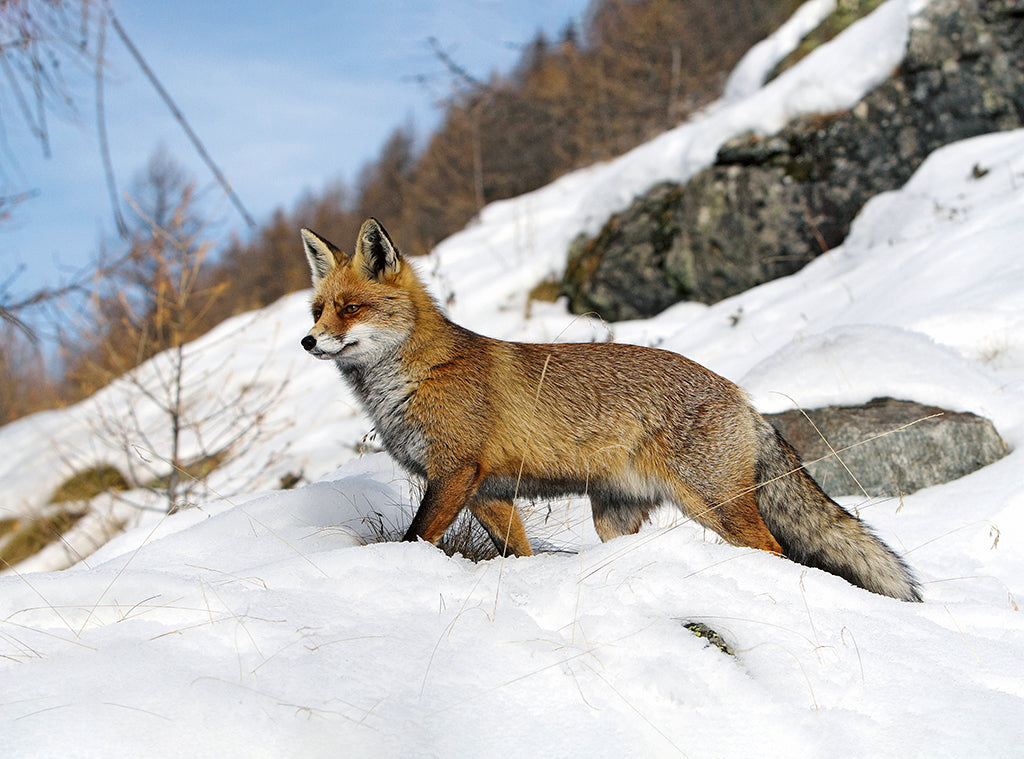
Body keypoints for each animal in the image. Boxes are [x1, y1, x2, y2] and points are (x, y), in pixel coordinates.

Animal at [299, 216, 921, 602]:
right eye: (316, 310)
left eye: (350, 309)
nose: (307, 342)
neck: (414, 377)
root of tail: (741, 395)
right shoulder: (488, 493)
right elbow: (516, 555)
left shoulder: (453, 473)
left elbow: (413, 538)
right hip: (615, 517)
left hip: (714, 505)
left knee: (773, 548)